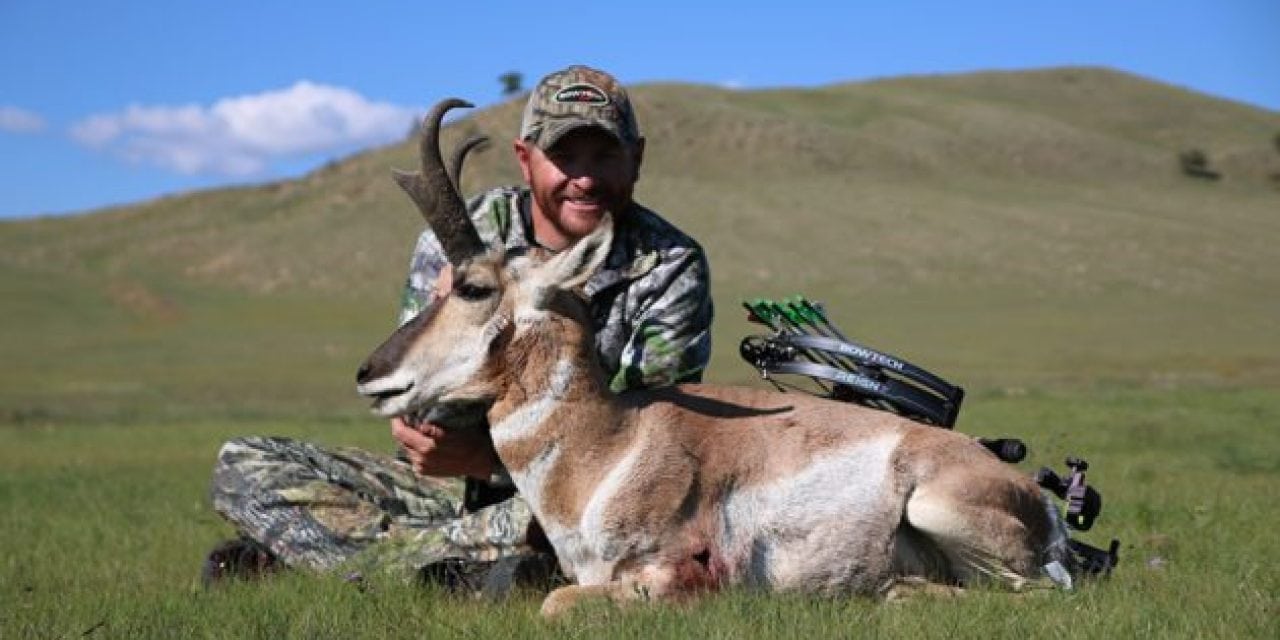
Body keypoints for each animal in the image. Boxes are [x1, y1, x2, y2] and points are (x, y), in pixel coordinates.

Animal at [355, 98, 1075, 614]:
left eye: (474, 287)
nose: (369, 374)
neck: (611, 444)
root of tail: (1041, 501)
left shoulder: (654, 569)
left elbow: (555, 603)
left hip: (936, 508)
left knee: (1035, 592)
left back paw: (895, 591)